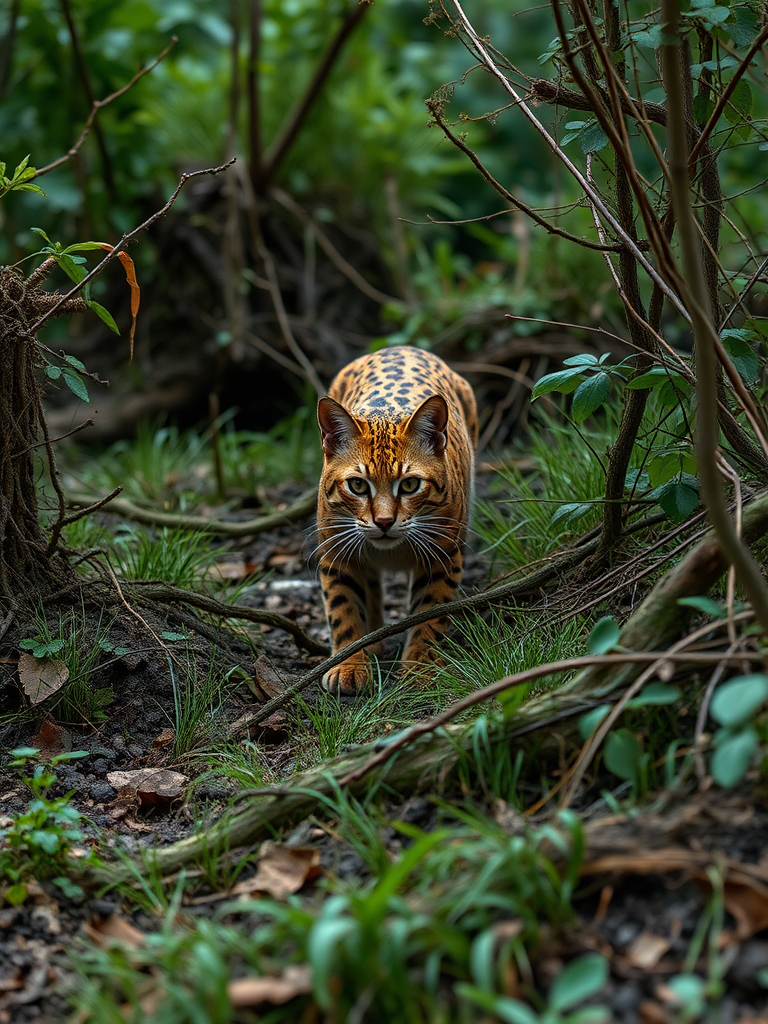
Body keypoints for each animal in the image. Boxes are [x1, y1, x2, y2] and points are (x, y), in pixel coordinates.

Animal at [315, 346, 479, 696]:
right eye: (357, 485)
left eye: (410, 485)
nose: (384, 521)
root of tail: (401, 346)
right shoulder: (335, 548)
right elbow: (343, 607)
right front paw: (349, 664)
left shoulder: (443, 553)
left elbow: (429, 613)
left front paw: (419, 668)